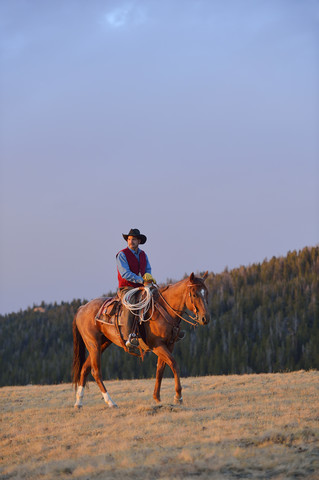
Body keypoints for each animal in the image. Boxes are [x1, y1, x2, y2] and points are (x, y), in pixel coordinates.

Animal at [73, 272, 211, 406]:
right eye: (194, 294)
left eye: (206, 293)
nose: (205, 318)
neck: (164, 310)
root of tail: (81, 308)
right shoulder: (157, 345)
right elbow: (174, 364)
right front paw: (178, 396)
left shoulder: (169, 345)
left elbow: (160, 369)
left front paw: (157, 397)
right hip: (93, 344)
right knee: (96, 372)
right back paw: (110, 402)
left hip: (102, 344)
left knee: (85, 369)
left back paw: (79, 402)